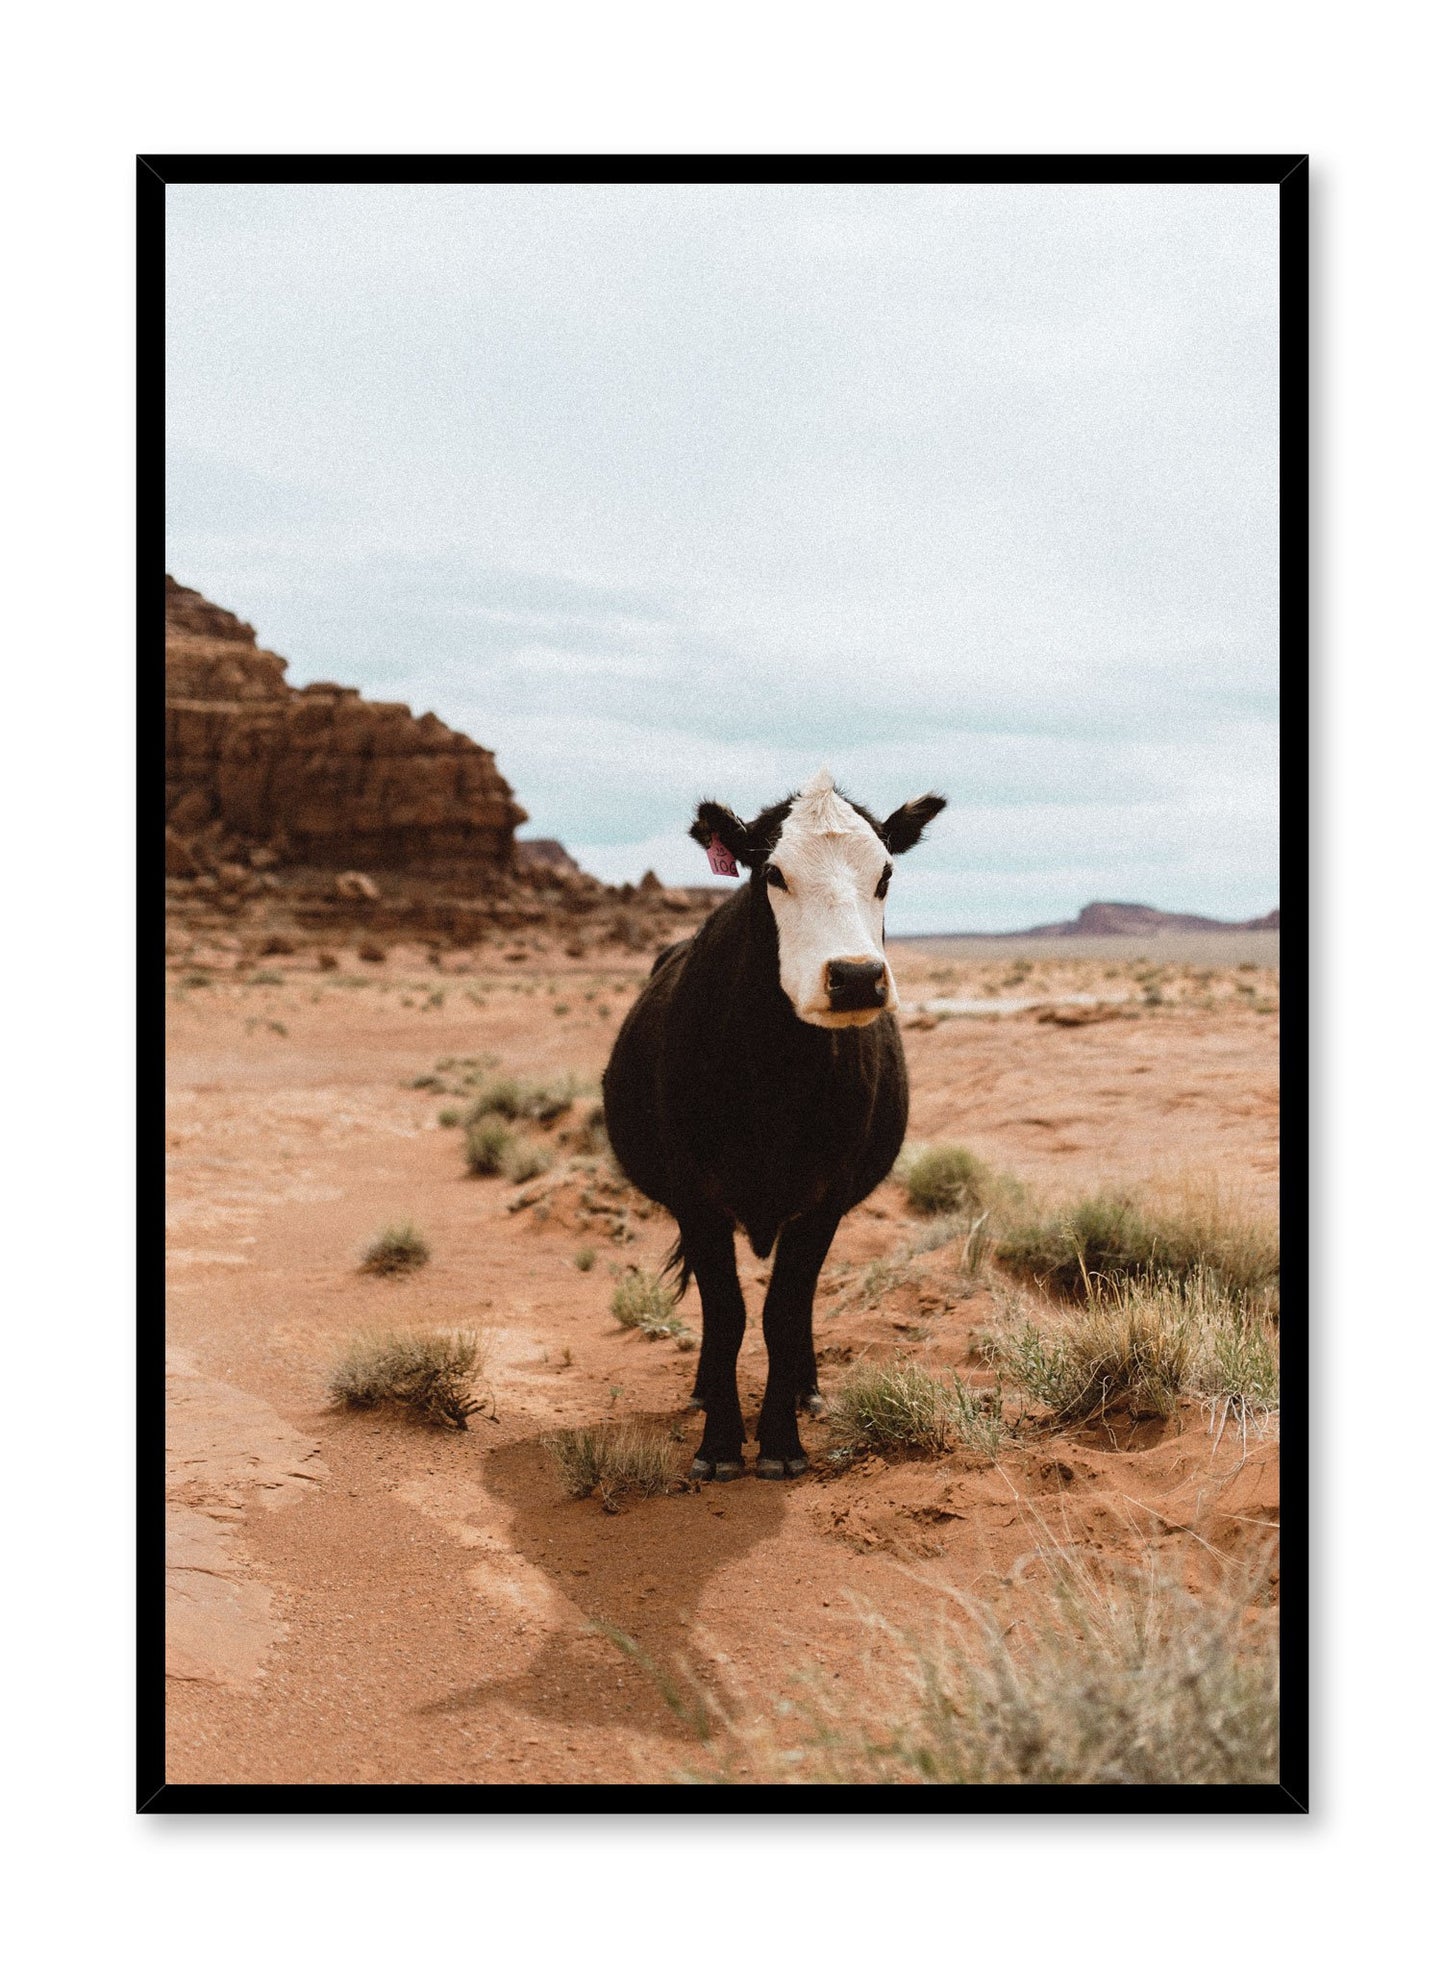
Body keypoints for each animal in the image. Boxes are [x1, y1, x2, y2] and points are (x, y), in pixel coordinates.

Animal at [602, 767, 952, 1480]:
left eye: (885, 874)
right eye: (773, 873)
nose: (855, 977)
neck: (773, 1077)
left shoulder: (825, 1199)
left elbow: (783, 1312)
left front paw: (782, 1444)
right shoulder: (696, 1199)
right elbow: (729, 1312)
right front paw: (718, 1446)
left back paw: (806, 1389)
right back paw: (706, 1389)